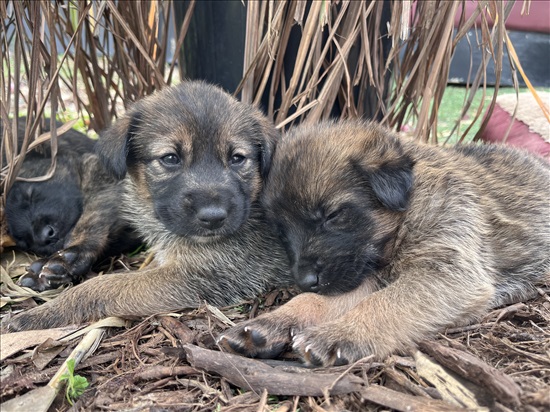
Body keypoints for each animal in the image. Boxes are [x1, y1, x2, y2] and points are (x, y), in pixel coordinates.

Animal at [3, 120, 135, 292]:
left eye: (31, 194)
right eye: (22, 240)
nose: (44, 237)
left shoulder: (106, 178)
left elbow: (90, 219)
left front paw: (69, 257)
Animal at [220, 120, 550, 366]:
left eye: (333, 215)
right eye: (281, 231)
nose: (304, 281)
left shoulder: (447, 271)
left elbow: (386, 303)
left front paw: (342, 334)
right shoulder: (363, 276)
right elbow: (316, 301)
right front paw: (272, 322)